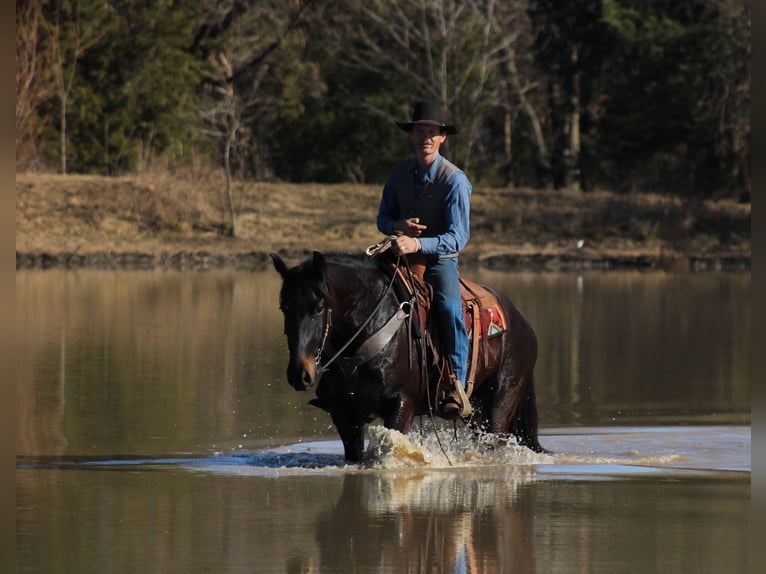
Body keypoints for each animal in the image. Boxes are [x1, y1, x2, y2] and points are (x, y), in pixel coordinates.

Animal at [271, 250, 543, 462]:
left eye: (318, 308)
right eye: (284, 308)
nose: (299, 374)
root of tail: (522, 321)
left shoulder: (402, 402)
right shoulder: (343, 412)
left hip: (500, 403)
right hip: (476, 413)